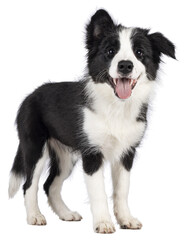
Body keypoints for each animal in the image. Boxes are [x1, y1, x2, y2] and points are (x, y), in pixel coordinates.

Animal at [8, 9, 176, 234]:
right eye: (110, 51)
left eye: (139, 53)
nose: (125, 65)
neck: (116, 106)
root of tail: (29, 96)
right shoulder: (92, 153)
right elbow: (99, 192)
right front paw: (103, 223)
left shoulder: (127, 152)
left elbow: (122, 190)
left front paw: (126, 219)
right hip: (35, 146)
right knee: (29, 184)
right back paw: (34, 216)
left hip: (65, 156)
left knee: (50, 185)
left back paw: (66, 214)